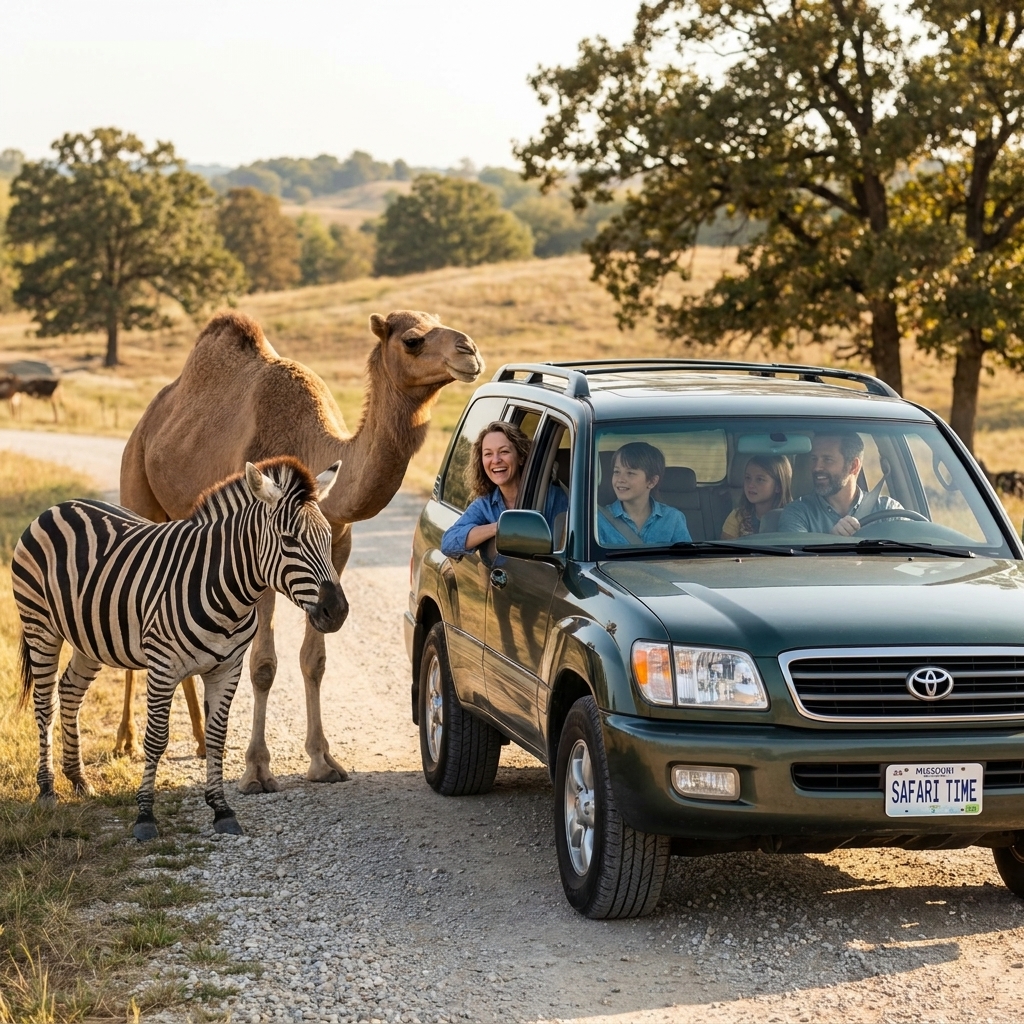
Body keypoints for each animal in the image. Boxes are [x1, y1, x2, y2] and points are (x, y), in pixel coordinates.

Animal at [12, 456, 348, 841]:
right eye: (289, 540)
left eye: (327, 538)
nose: (337, 611)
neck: (225, 591)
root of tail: (60, 505)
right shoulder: (163, 666)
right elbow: (157, 739)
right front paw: (145, 817)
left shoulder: (227, 668)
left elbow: (217, 737)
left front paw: (222, 810)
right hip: (40, 625)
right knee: (45, 704)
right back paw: (47, 790)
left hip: (90, 636)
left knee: (69, 691)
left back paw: (79, 780)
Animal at [115, 309, 483, 791]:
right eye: (413, 339)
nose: (469, 351)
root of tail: (146, 421)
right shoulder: (258, 559)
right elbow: (263, 665)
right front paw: (256, 769)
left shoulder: (337, 551)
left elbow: (315, 660)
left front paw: (324, 761)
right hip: (138, 489)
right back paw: (126, 740)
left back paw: (197, 737)